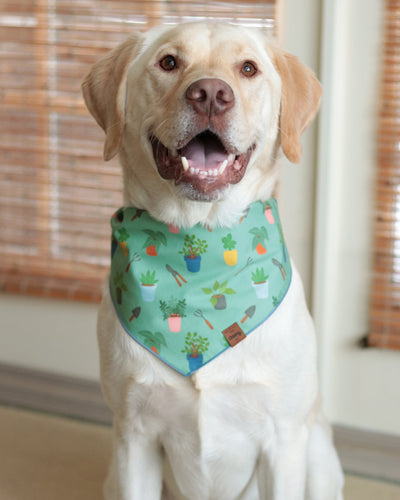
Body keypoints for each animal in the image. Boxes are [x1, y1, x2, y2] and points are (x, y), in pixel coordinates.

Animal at [81, 21, 344, 498]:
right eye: (169, 62)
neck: (198, 239)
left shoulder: (283, 443)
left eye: (248, 68)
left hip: (315, 454)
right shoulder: (134, 439)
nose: (210, 94)